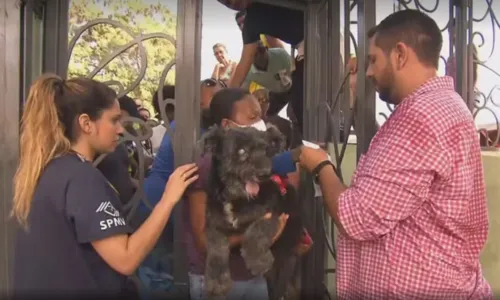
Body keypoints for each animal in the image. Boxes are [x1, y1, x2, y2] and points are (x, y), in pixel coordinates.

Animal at [200, 123, 302, 298]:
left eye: (266, 150)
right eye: (241, 151)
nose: (264, 174)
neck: (236, 198)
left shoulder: (271, 215)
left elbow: (256, 230)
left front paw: (258, 261)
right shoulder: (213, 224)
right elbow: (216, 250)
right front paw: (217, 281)